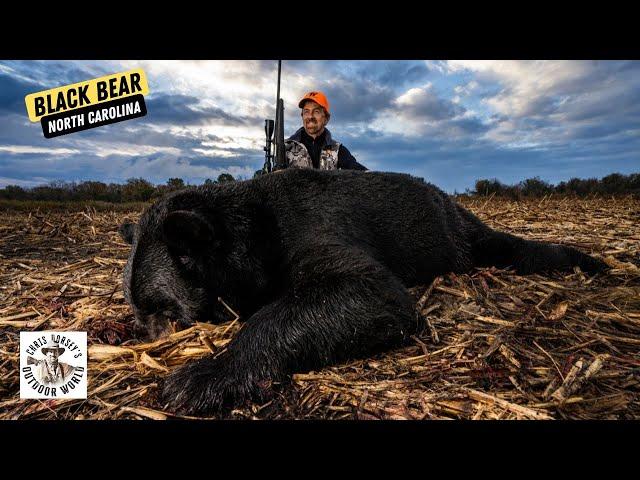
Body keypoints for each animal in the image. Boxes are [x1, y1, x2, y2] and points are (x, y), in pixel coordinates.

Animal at [119, 169, 604, 412]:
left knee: (510, 246)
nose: (147, 336)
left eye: (164, 310)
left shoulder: (310, 228)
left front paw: (205, 375)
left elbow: (369, 292)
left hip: (458, 233)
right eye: (139, 312)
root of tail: (445, 198)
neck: (255, 232)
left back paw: (589, 261)